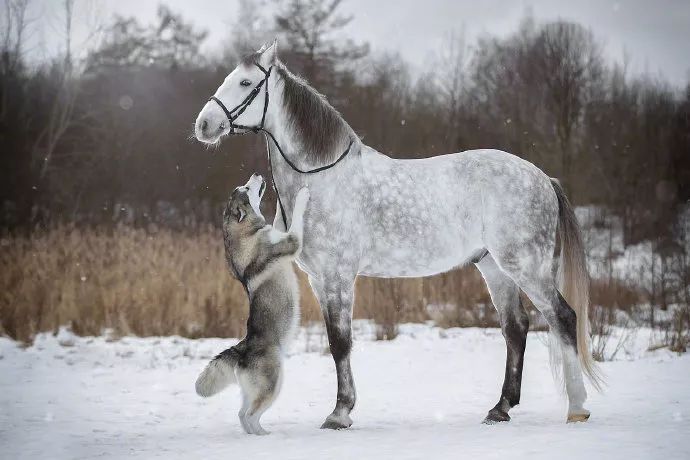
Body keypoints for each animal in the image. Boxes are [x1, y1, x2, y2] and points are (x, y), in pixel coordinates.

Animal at [196, 172, 310, 434]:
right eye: (246, 188)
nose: (257, 174)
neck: (246, 232)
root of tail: (242, 349)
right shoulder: (292, 241)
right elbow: (296, 220)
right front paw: (302, 194)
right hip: (273, 384)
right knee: (249, 415)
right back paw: (263, 436)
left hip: (254, 390)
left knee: (241, 414)